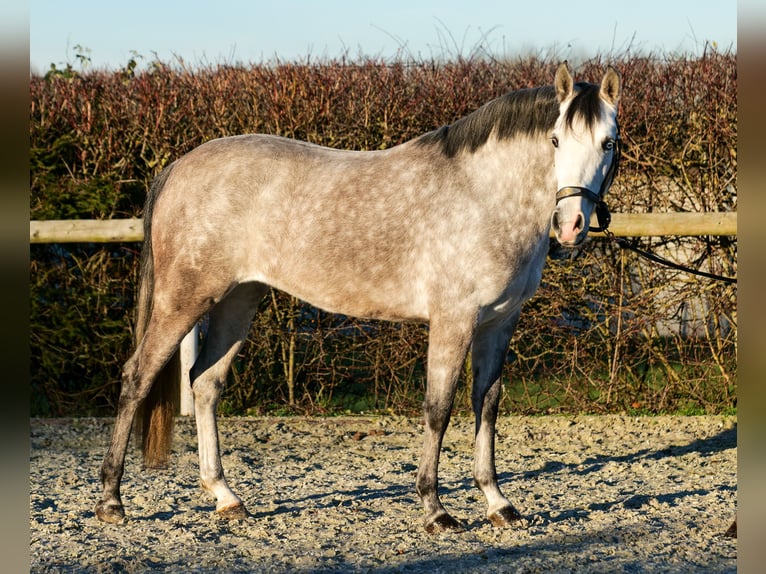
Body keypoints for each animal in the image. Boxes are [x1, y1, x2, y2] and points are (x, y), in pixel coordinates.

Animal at [96, 63, 624, 536]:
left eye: (608, 142)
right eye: (555, 141)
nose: (571, 225)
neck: (482, 195)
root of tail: (178, 167)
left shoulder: (500, 321)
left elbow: (486, 404)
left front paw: (498, 503)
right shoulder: (453, 319)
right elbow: (439, 408)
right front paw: (436, 511)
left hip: (239, 299)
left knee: (206, 383)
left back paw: (225, 497)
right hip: (183, 299)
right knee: (137, 377)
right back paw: (111, 501)